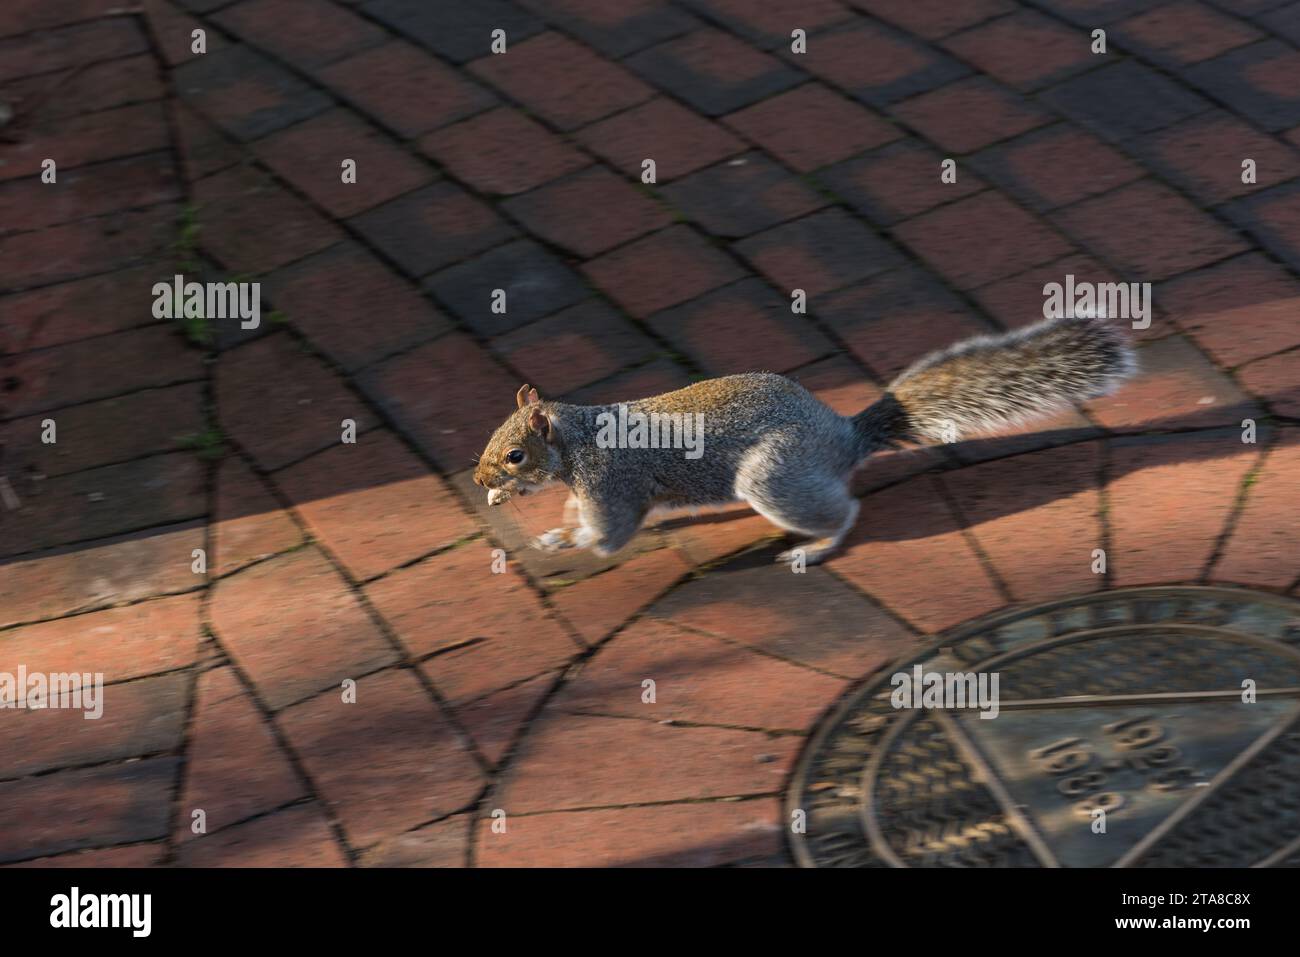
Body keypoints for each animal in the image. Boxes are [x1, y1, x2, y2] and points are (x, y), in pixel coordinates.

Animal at [473, 313, 1136, 565]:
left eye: (514, 455)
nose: (480, 480)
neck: (578, 437)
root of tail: (843, 437)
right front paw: (558, 524)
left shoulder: (614, 483)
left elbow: (607, 536)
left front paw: (567, 540)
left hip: (773, 475)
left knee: (846, 512)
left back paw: (813, 547)